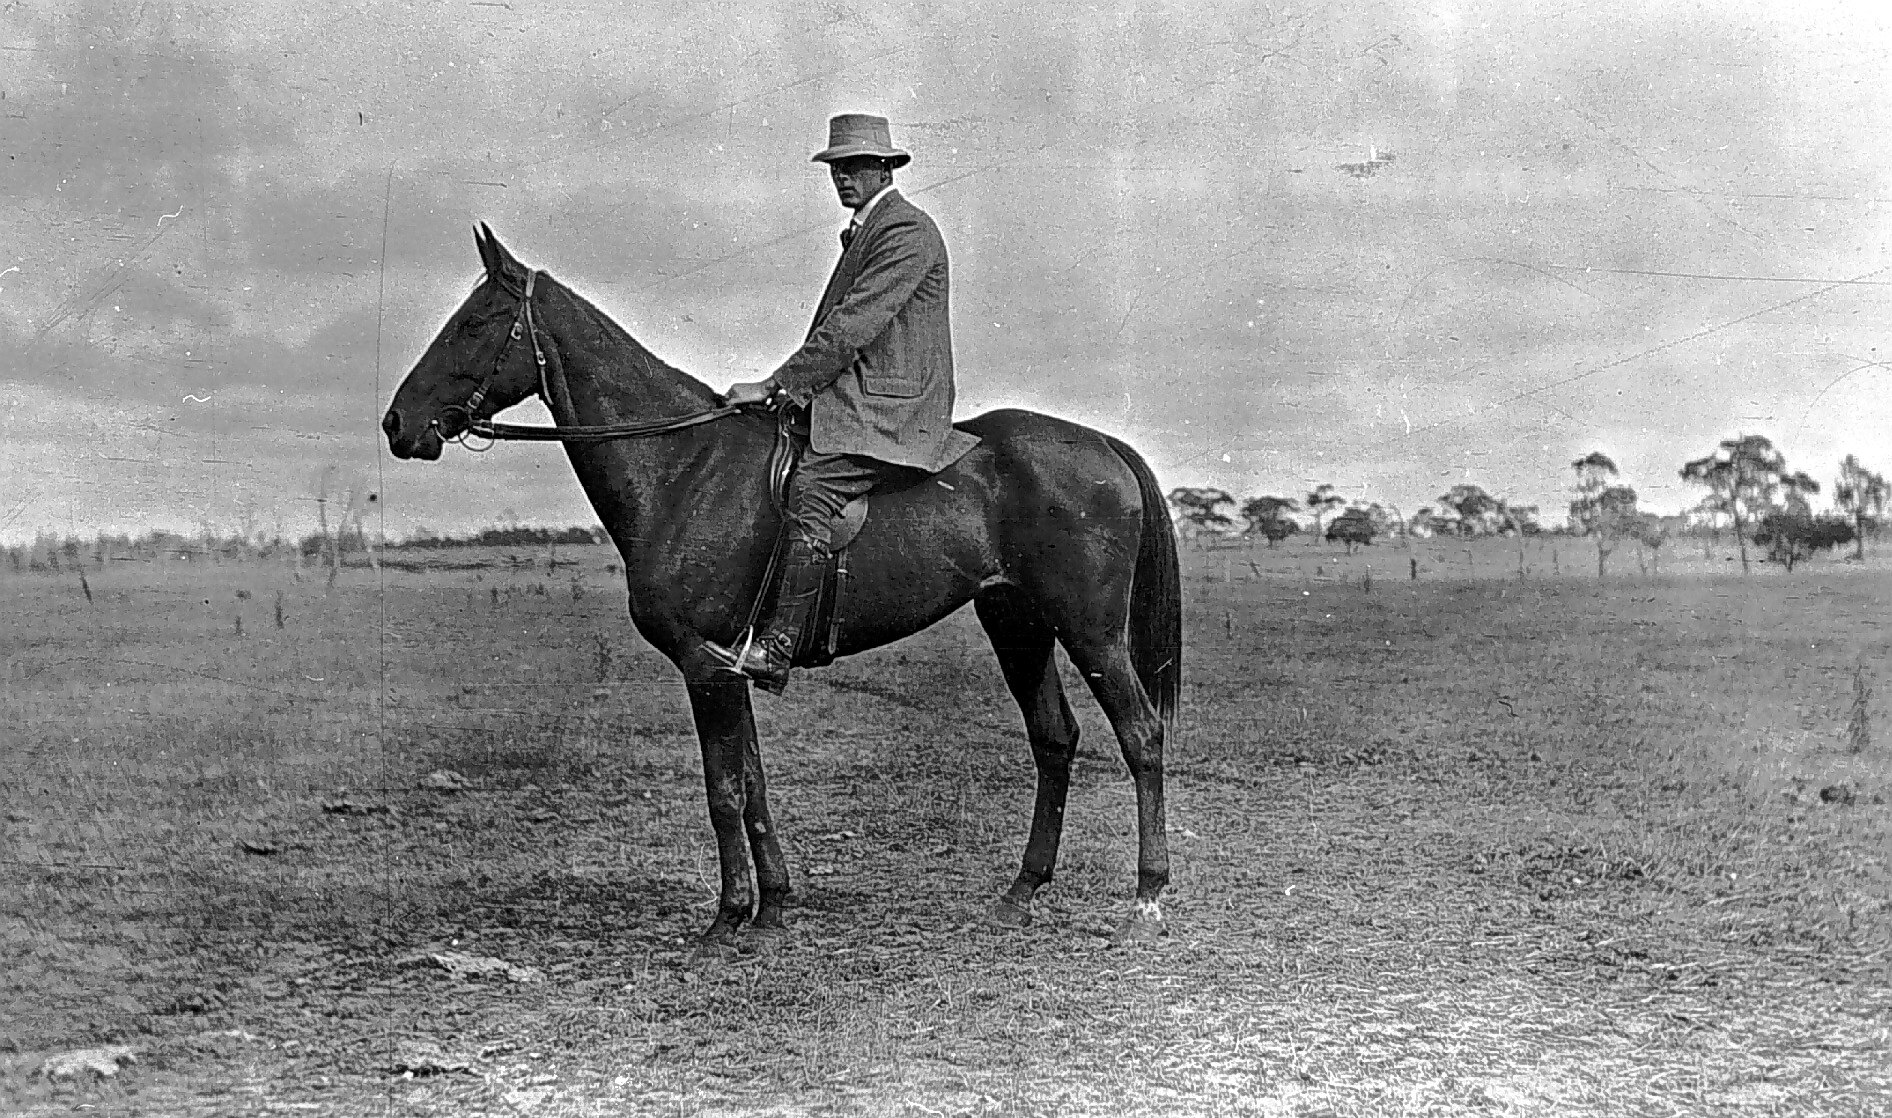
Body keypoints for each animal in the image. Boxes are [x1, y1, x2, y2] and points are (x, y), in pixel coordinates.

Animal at [381, 225, 1181, 946]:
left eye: (474, 322)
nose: (397, 424)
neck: (683, 468)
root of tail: (1103, 444)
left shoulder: (704, 668)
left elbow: (723, 790)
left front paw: (729, 916)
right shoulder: (729, 666)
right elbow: (754, 782)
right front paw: (775, 906)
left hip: (1090, 631)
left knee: (1141, 734)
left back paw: (1147, 894)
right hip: (1017, 624)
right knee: (1055, 739)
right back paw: (1023, 888)